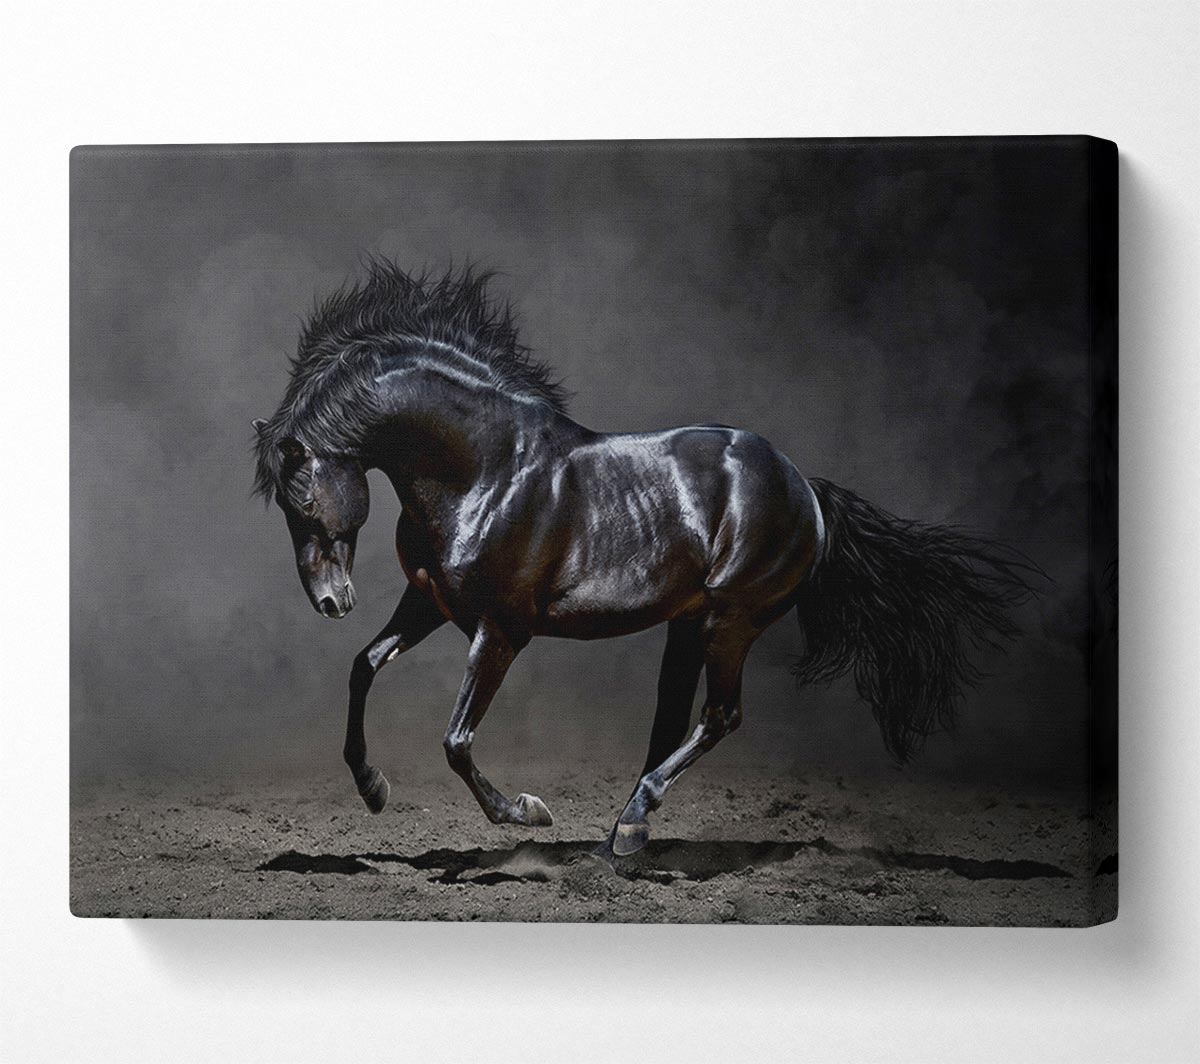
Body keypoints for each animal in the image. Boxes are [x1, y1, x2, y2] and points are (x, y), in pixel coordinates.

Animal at [253, 260, 1036, 858]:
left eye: (302, 502)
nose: (330, 602)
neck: (484, 469)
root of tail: (805, 489)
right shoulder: (431, 604)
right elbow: (363, 667)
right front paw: (373, 788)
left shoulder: (501, 630)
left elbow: (456, 739)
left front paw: (527, 812)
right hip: (689, 623)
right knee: (671, 722)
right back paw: (619, 838)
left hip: (731, 620)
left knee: (719, 717)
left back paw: (629, 830)